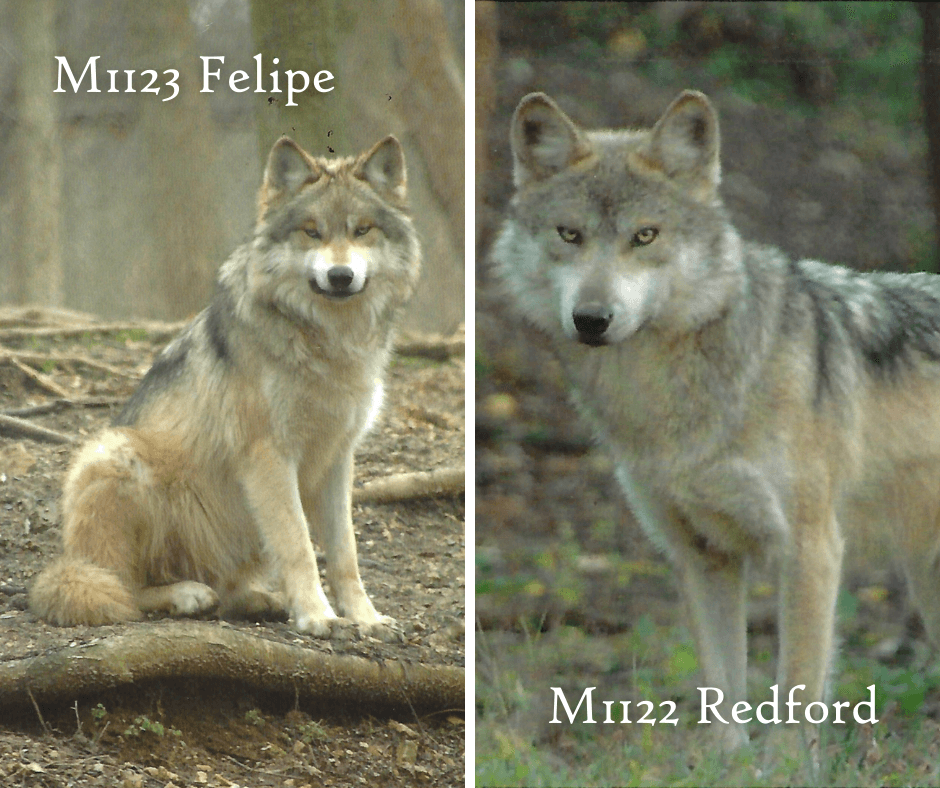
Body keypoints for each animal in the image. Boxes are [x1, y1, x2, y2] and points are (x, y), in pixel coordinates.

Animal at [30, 135, 418, 640]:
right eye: (311, 232)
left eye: (362, 230)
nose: (339, 276)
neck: (327, 342)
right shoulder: (269, 455)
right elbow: (298, 545)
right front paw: (317, 616)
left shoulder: (338, 458)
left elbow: (344, 552)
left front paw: (365, 618)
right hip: (114, 453)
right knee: (117, 586)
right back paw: (186, 594)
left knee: (225, 591)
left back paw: (257, 599)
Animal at [492, 89, 940, 748]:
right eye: (569, 234)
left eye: (645, 235)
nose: (592, 319)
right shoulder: (703, 559)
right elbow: (723, 711)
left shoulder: (810, 552)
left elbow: (794, 711)